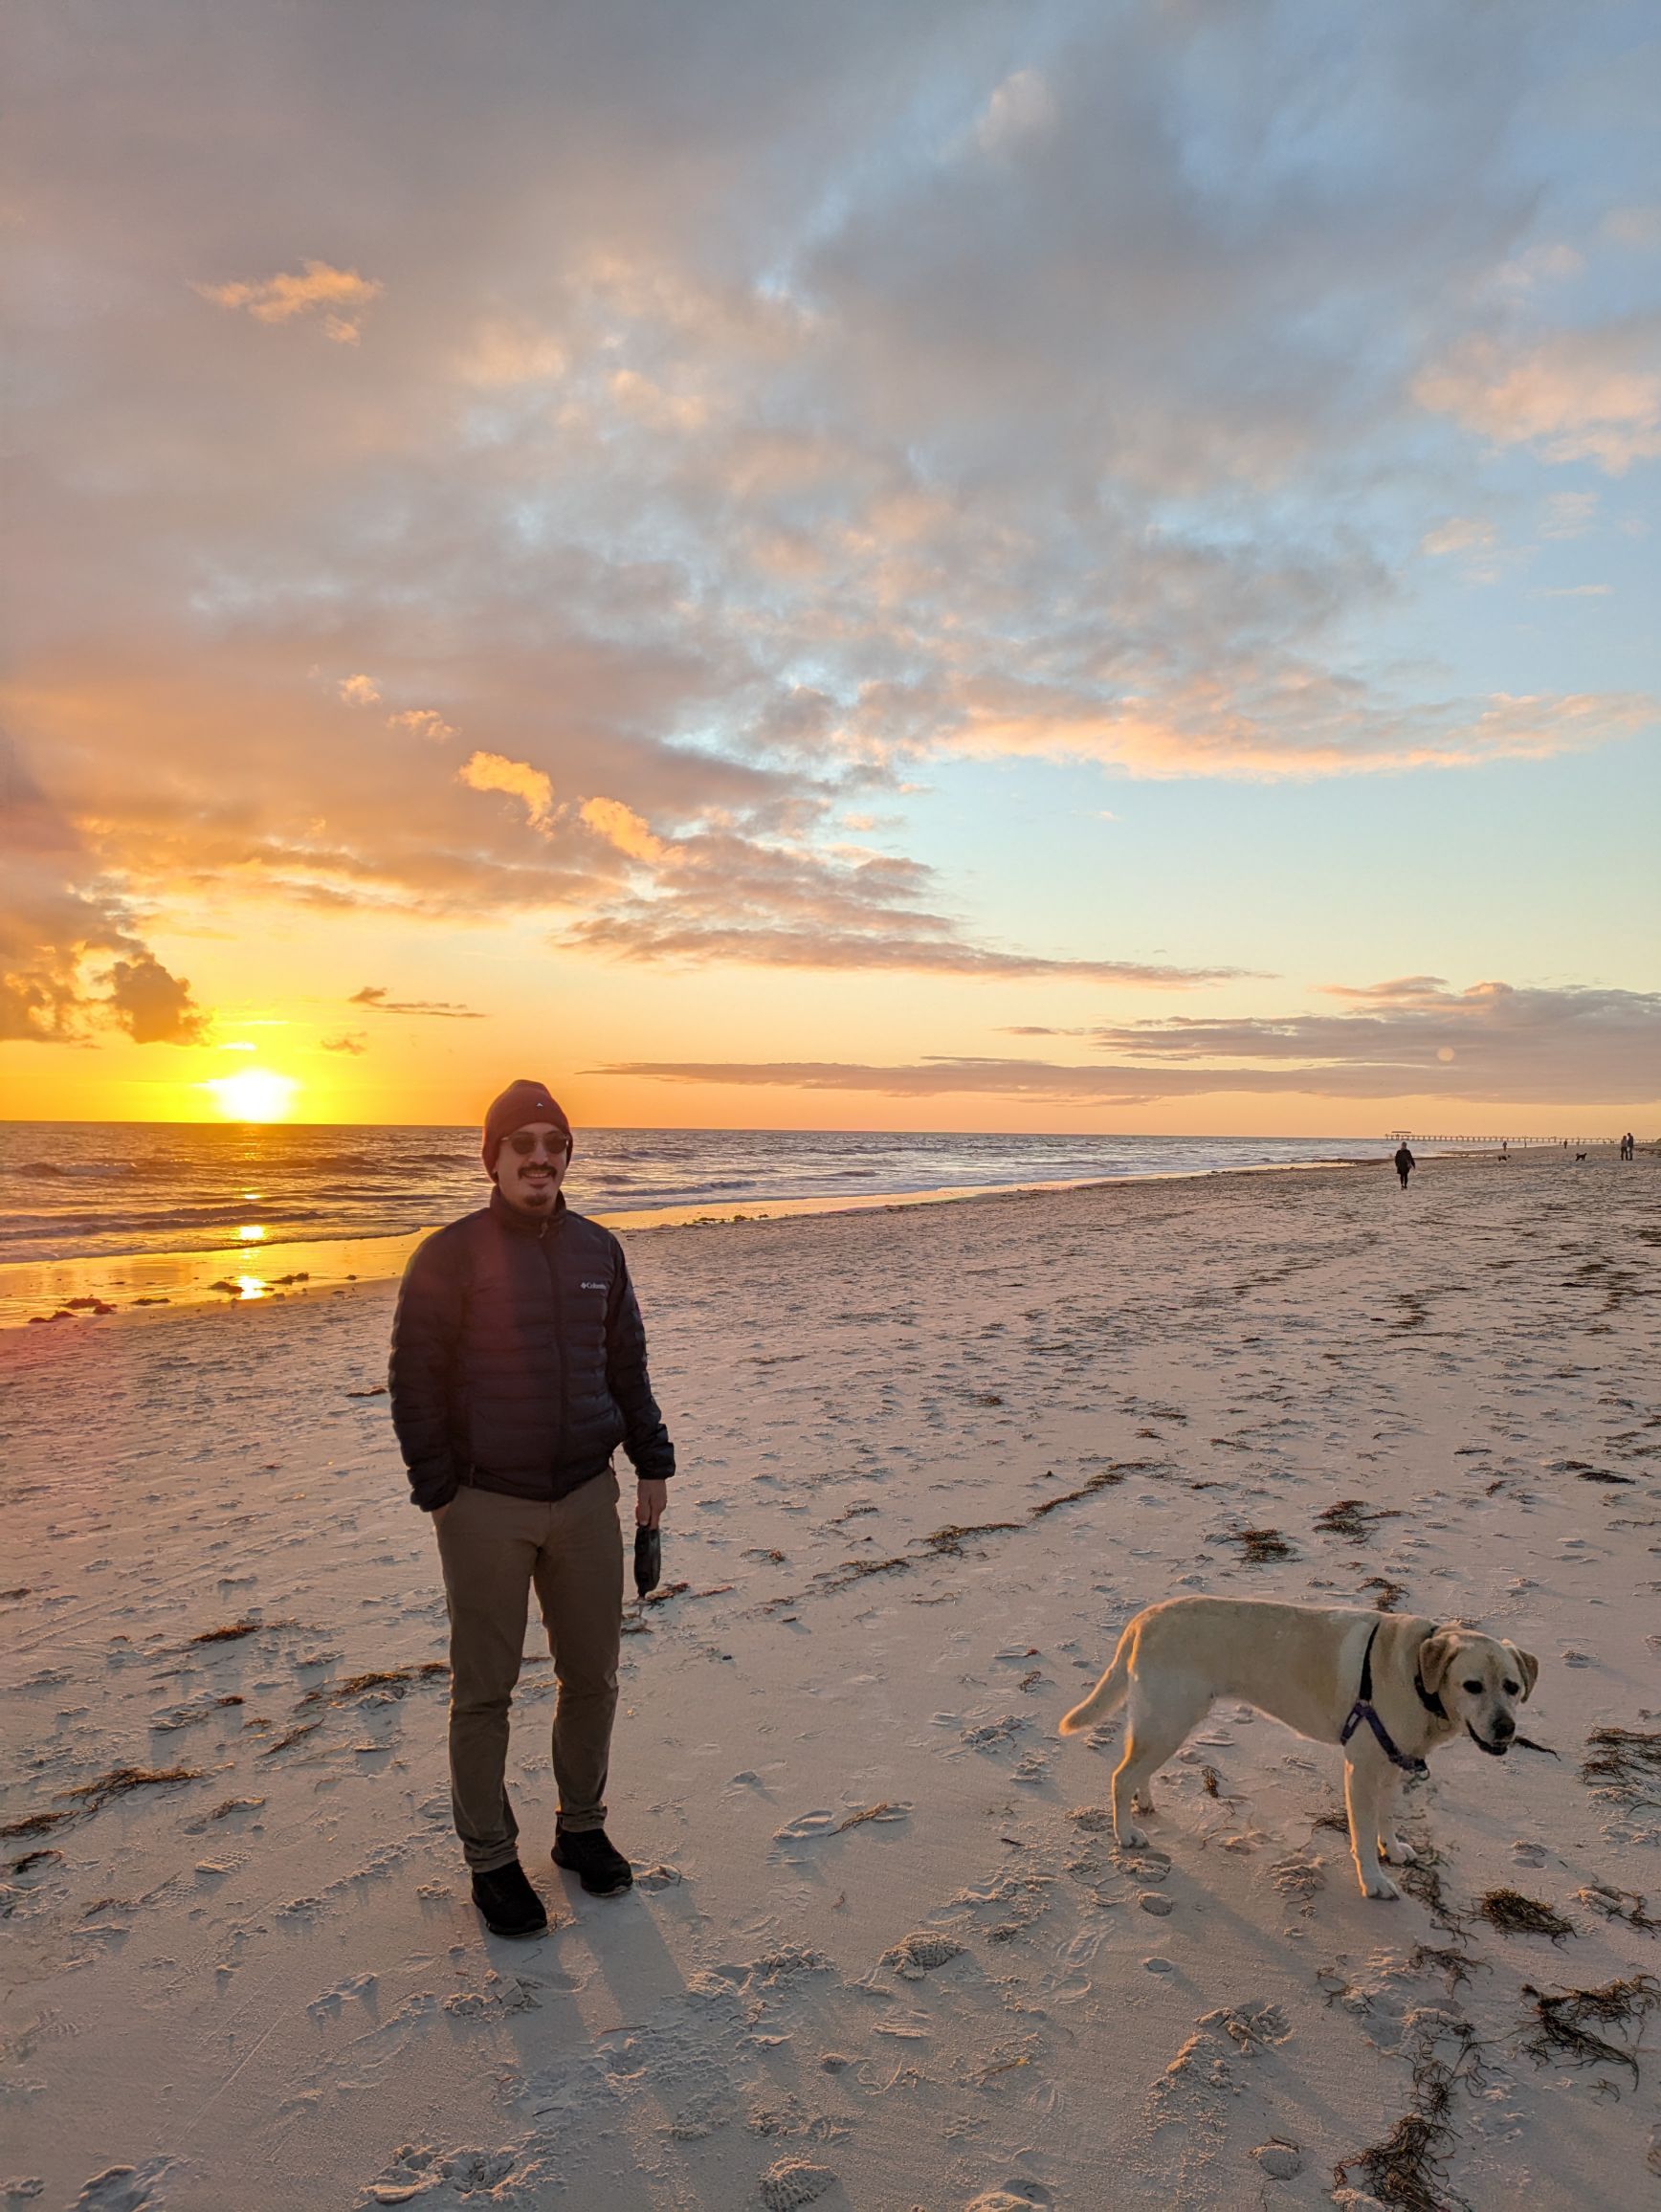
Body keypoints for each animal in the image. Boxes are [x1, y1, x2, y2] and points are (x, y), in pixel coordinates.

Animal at [1056, 1592, 1539, 1902]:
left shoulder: (1392, 1764)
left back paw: (1145, 1802)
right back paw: (1125, 1833)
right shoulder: (1362, 1770)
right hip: (1169, 1721)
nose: (1506, 1728)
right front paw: (1374, 1880)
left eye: (1512, 1687)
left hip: (1163, 1722)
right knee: (1120, 1776)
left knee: (1135, 1767)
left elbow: (1387, 1817)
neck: (1420, 1674)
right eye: (1472, 1686)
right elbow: (1363, 1834)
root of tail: (1144, 1617)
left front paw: (1393, 1848)